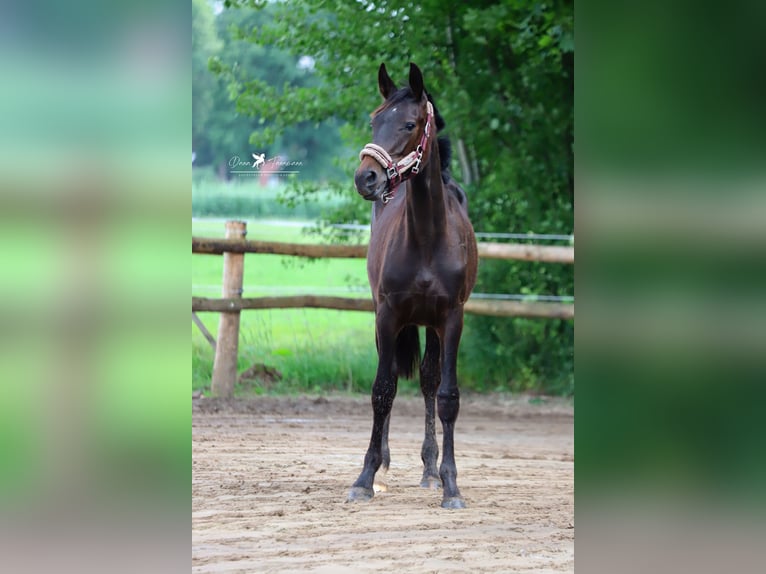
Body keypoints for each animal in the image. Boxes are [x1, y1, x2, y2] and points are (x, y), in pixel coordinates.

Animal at [350, 64, 480, 512]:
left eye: (409, 124)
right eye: (374, 120)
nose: (366, 177)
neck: (426, 235)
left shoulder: (451, 319)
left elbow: (447, 396)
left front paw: (451, 485)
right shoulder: (388, 315)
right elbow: (382, 389)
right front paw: (366, 477)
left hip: (432, 325)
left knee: (427, 380)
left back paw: (429, 470)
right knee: (391, 376)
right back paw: (386, 463)